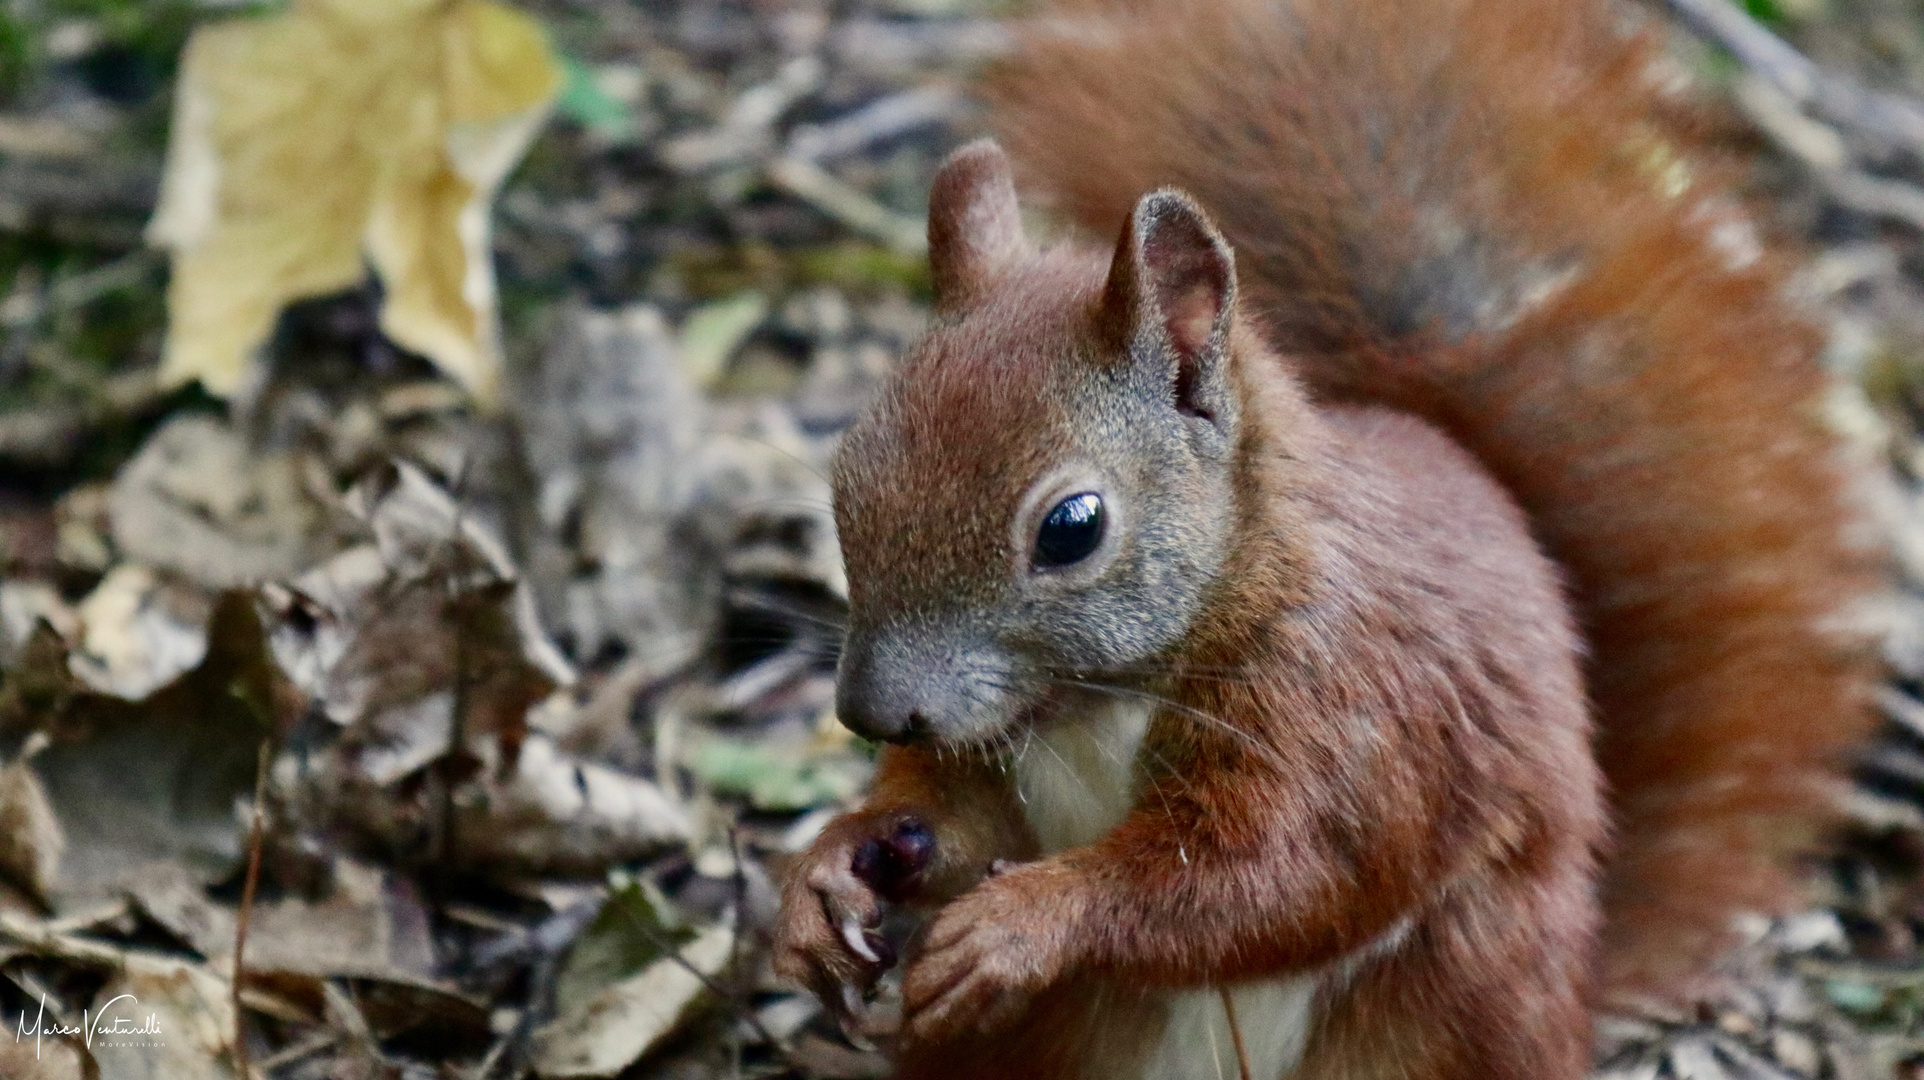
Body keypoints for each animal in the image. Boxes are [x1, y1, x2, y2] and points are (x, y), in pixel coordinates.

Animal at [765, 0, 1877, 1070]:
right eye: (846, 470)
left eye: (1072, 529)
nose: (871, 713)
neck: (1099, 699)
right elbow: (954, 817)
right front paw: (829, 872)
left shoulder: (1351, 710)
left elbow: (1275, 878)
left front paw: (1021, 923)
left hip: (1467, 994)